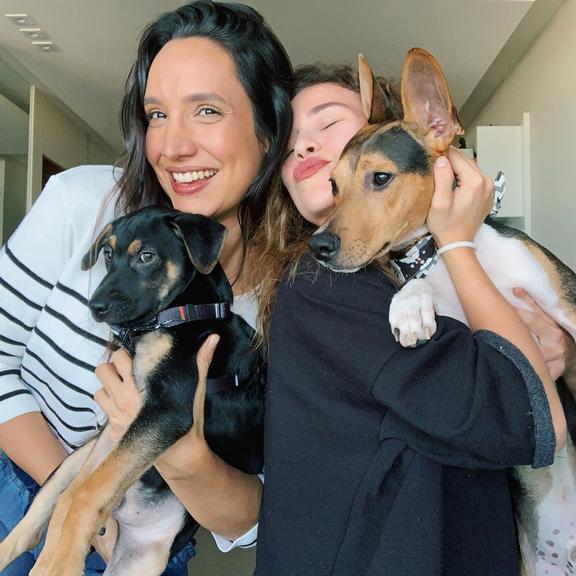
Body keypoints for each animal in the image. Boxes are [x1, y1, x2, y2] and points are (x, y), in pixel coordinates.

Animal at [0, 207, 264, 576]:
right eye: (108, 254)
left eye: (147, 256)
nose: (95, 307)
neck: (183, 314)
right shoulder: (121, 427)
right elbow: (78, 493)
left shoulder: (167, 410)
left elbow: (84, 494)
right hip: (75, 459)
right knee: (38, 517)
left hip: (141, 560)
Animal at [310, 48, 576, 576]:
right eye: (331, 185)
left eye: (380, 178)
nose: (318, 246)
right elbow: (420, 283)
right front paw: (410, 308)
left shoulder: (567, 302)